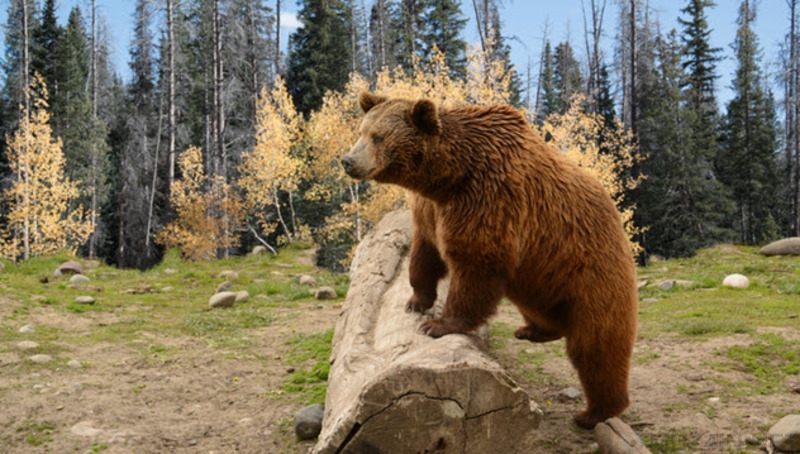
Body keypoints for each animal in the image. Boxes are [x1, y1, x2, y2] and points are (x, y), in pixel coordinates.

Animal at [342, 92, 636, 430]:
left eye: (378, 137)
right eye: (361, 131)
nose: (348, 160)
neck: (448, 178)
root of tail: (616, 217)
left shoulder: (489, 199)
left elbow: (475, 265)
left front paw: (437, 325)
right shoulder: (431, 209)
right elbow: (424, 254)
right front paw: (416, 301)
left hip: (591, 270)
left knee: (596, 346)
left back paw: (593, 413)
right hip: (540, 276)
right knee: (541, 307)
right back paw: (533, 331)